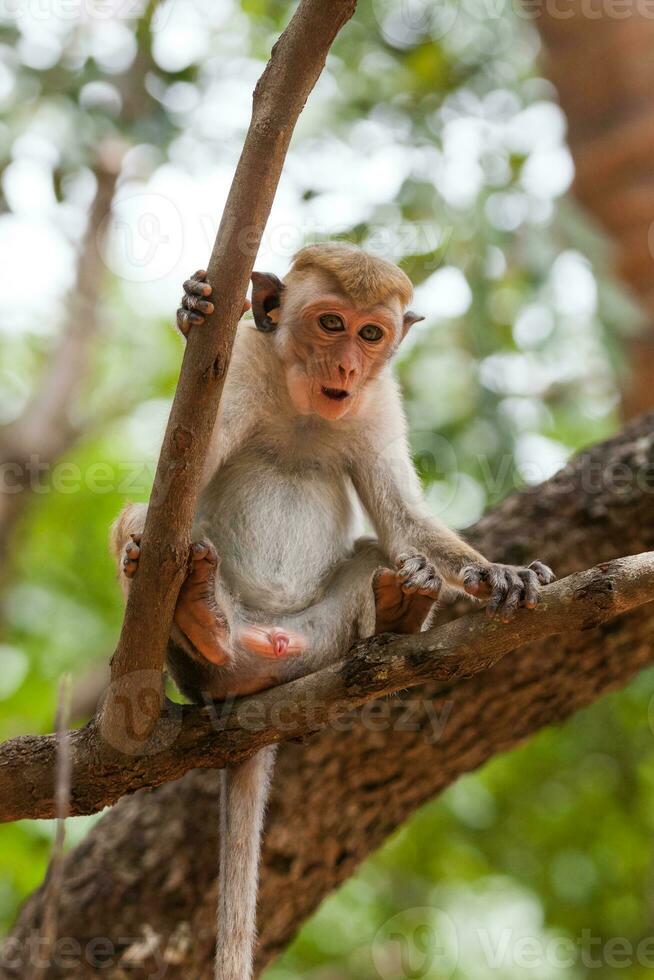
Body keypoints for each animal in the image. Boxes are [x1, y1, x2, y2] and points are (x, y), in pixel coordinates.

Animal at [110, 239, 556, 980]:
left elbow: (402, 522)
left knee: (377, 554)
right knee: (153, 536)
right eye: (329, 323)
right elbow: (182, 471)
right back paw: (199, 614)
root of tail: (257, 666)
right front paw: (192, 304)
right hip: (207, 659)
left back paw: (399, 609)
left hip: (319, 640)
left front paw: (496, 572)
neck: (305, 409)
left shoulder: (377, 406)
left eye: (370, 334)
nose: (346, 365)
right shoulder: (238, 368)